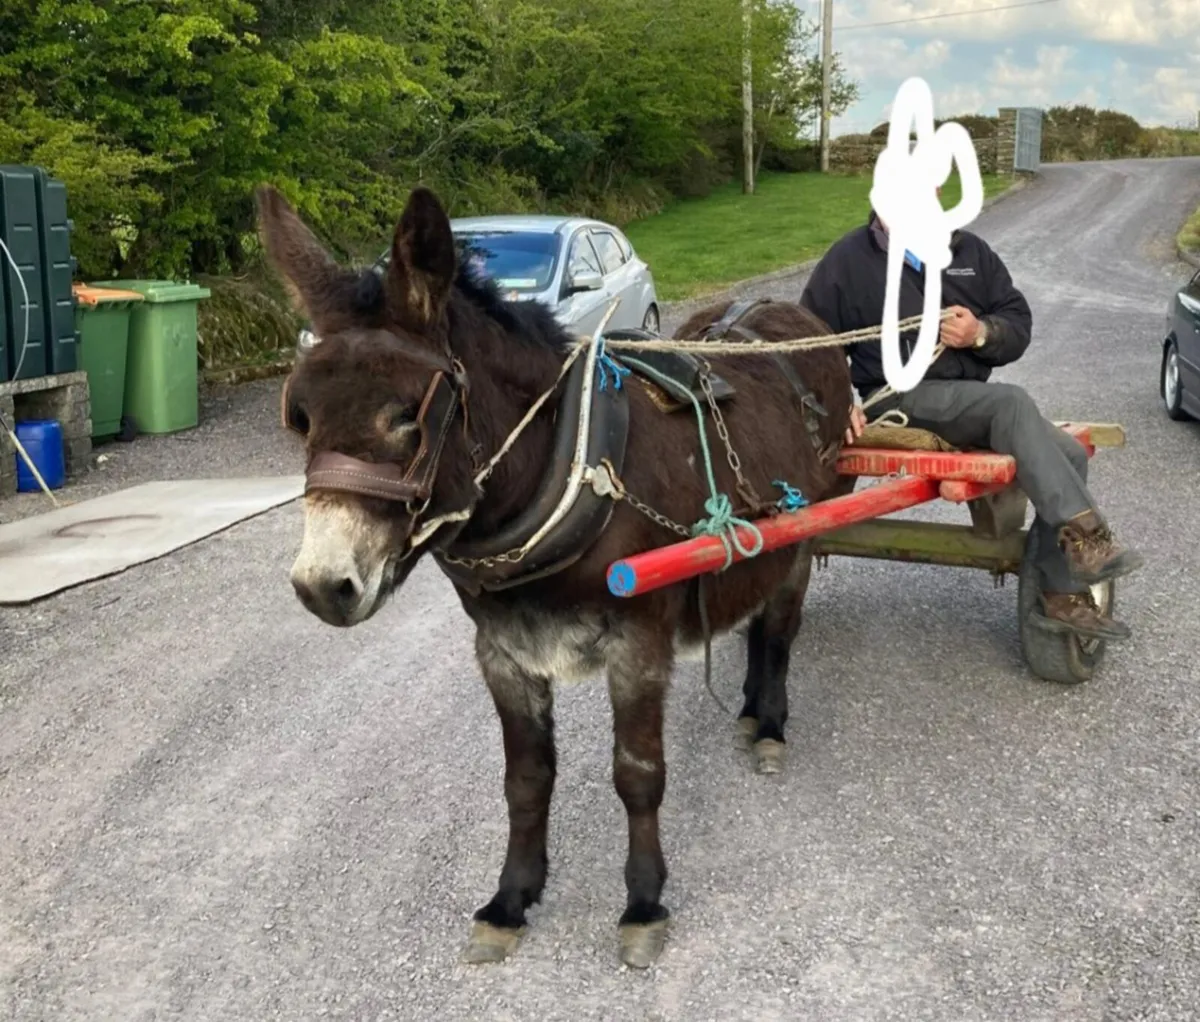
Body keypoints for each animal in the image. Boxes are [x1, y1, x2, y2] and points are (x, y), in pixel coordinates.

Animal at [256, 183, 854, 969]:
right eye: (300, 417)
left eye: (407, 417)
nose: (322, 587)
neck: (568, 464)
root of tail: (784, 318)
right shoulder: (504, 653)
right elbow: (525, 779)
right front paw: (510, 900)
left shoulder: (638, 647)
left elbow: (637, 774)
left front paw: (643, 903)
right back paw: (753, 707)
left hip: (803, 540)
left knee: (780, 631)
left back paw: (771, 725)